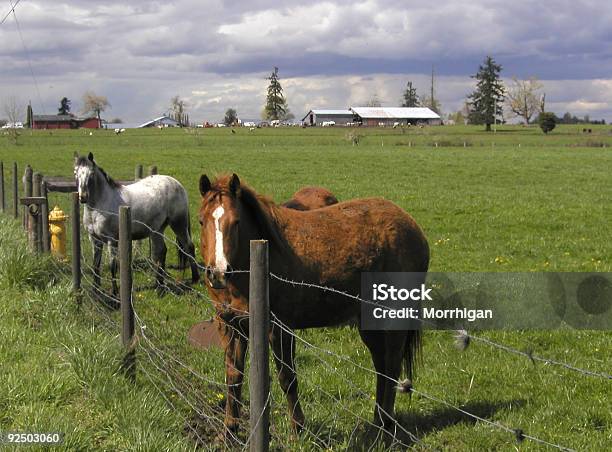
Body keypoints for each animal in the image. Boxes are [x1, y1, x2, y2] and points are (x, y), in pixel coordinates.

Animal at [74, 154, 198, 298]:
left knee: (189, 247)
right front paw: (95, 291)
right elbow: (95, 265)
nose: (83, 197)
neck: (99, 206)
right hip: (157, 230)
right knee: (161, 252)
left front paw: (115, 292)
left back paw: (195, 279)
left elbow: (113, 266)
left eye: (91, 174)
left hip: (178, 224)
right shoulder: (95, 239)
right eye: (76, 173)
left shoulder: (112, 241)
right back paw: (159, 286)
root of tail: (178, 184)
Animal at [198, 175, 428, 440]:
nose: (217, 272)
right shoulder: (232, 326)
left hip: (393, 320)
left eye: (236, 222)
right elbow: (233, 377)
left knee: (390, 366)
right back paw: (378, 424)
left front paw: (298, 430)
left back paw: (384, 429)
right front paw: (229, 431)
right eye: (201, 221)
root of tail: (414, 229)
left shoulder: (280, 328)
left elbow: (287, 378)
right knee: (382, 367)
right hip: (370, 324)